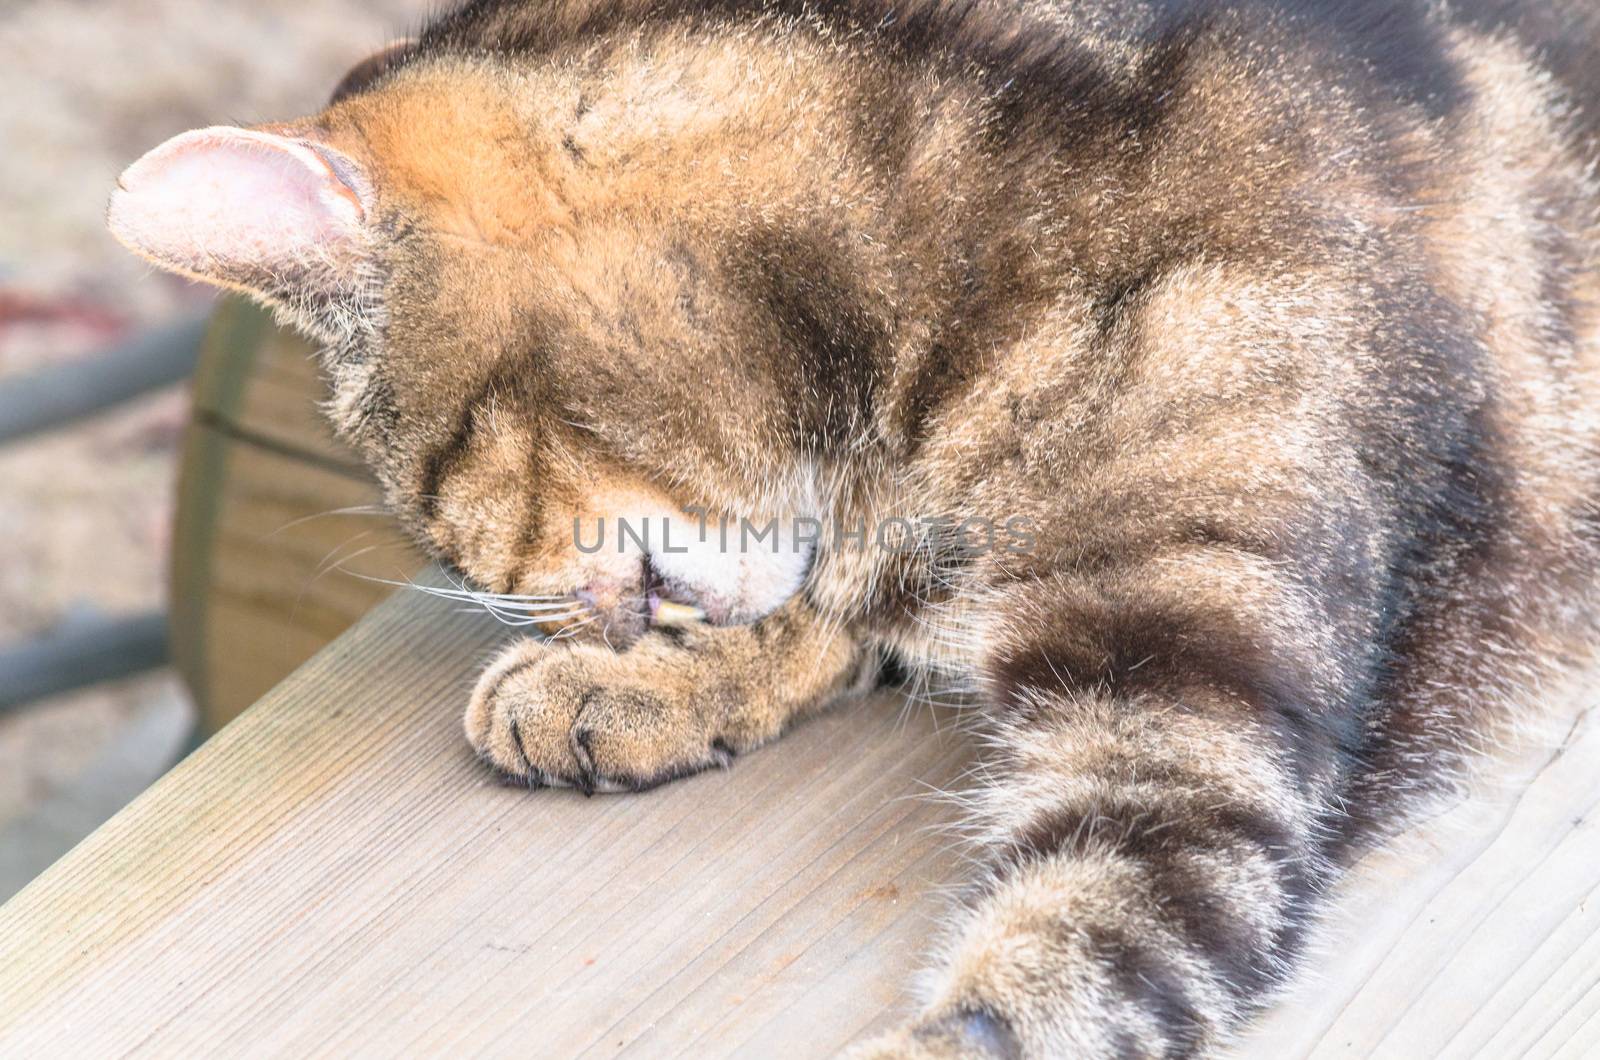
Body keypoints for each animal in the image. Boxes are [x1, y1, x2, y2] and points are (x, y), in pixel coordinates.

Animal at [106, 0, 1600, 1056]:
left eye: (435, 485)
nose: (585, 616)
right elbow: (844, 607)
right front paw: (640, 684)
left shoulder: (1192, 729)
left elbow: (1055, 968)